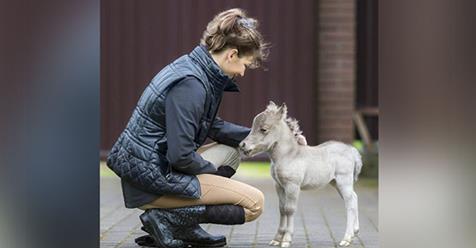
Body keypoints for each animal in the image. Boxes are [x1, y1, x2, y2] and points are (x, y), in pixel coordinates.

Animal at [240, 101, 362, 247]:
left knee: (350, 204)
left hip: (344, 181)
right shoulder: (279, 186)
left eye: (263, 129)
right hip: (336, 183)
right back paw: (355, 232)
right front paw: (277, 238)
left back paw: (346, 239)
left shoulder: (292, 186)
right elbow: (282, 209)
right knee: (354, 198)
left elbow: (290, 209)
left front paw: (286, 239)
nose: (242, 145)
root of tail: (352, 150)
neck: (288, 155)